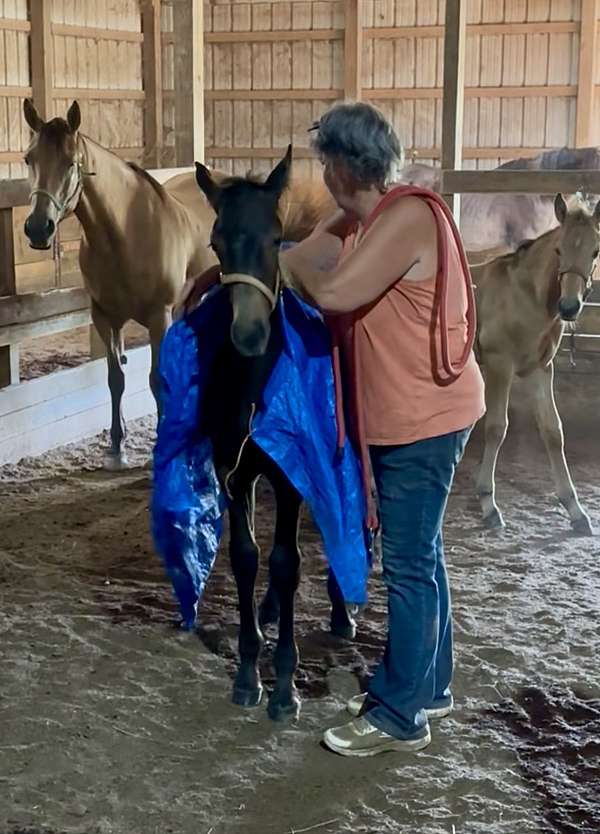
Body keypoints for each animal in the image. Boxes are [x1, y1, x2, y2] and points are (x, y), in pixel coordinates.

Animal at [21, 99, 335, 468]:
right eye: (29, 159)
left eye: (71, 163)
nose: (37, 228)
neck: (125, 234)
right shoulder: (104, 317)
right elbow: (115, 379)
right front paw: (117, 447)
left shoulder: (160, 317)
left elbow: (157, 380)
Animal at [191, 147, 355, 720]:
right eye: (217, 241)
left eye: (274, 235)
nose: (249, 333)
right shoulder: (234, 470)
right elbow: (247, 559)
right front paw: (247, 671)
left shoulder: (290, 477)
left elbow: (287, 564)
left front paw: (285, 684)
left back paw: (343, 612)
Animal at [471, 194, 600, 534]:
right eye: (559, 250)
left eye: (595, 251)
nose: (569, 307)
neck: (524, 296)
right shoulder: (500, 365)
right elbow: (496, 427)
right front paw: (489, 504)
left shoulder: (541, 369)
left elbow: (553, 431)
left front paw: (575, 510)